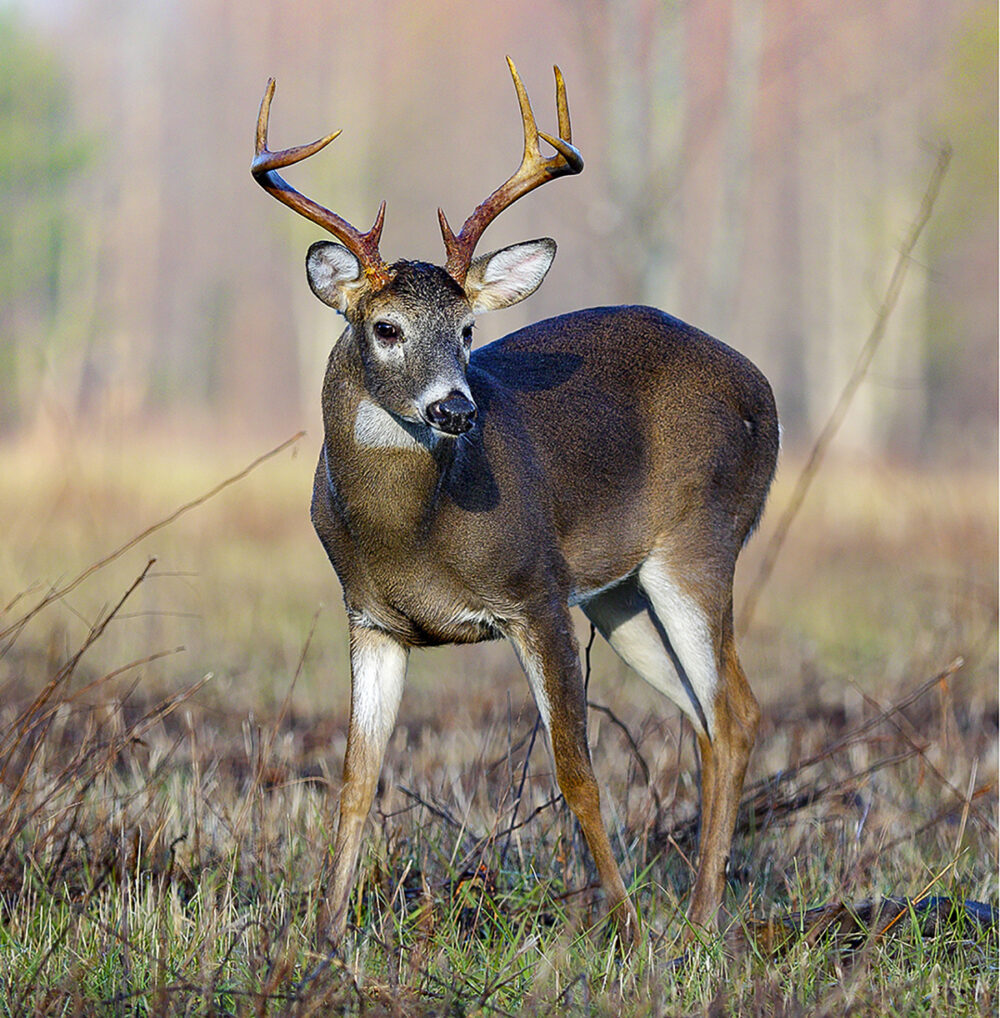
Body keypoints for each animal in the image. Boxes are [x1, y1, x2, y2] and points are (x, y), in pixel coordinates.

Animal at [251, 58, 779, 946]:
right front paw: (324, 937)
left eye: (468, 331)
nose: (456, 409)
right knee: (706, 719)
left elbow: (576, 772)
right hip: (620, 597)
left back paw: (699, 923)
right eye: (385, 327)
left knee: (735, 711)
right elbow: (357, 778)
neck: (414, 534)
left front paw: (627, 931)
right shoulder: (370, 617)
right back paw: (700, 912)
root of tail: (763, 391)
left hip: (699, 542)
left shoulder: (535, 591)